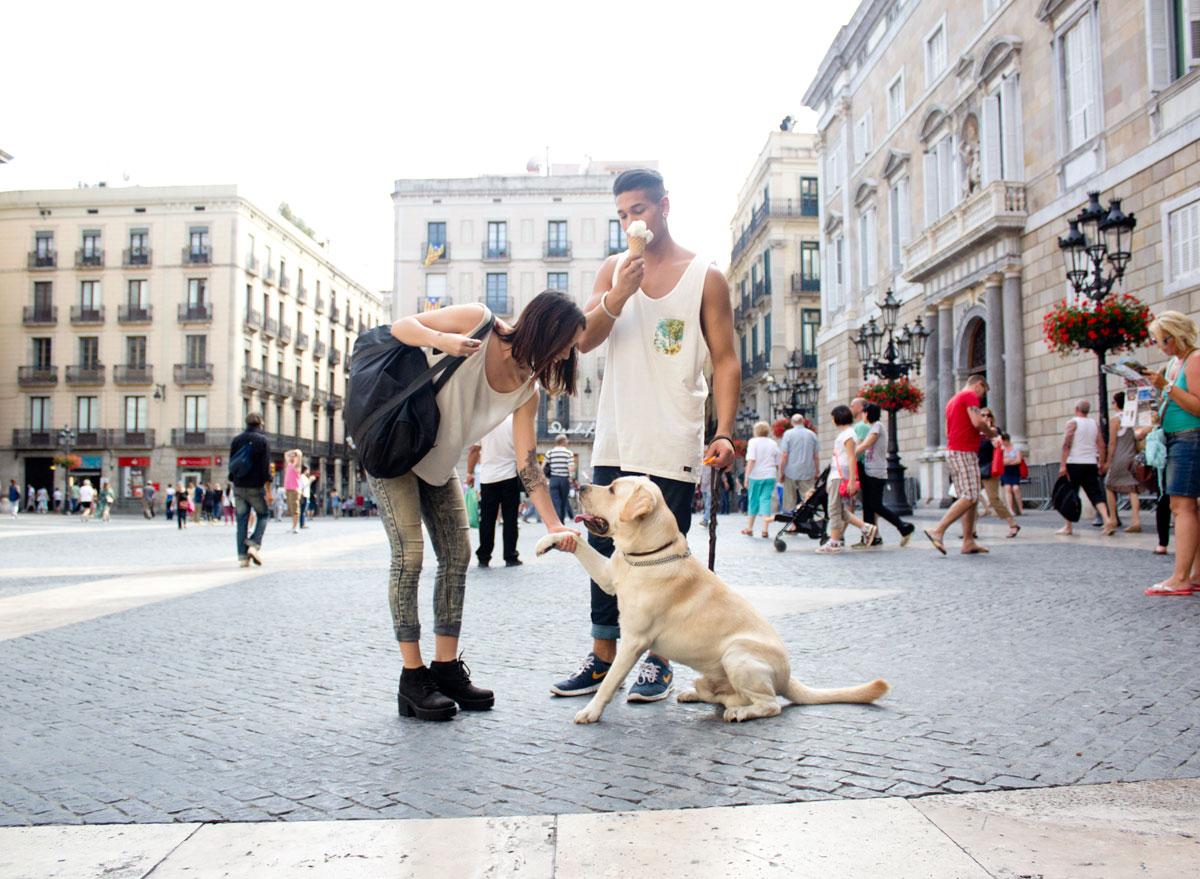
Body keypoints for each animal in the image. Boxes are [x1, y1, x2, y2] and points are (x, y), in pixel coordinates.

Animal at [540, 477, 888, 725]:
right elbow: (578, 542)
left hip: (738, 655)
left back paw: (740, 712)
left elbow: (611, 680)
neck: (647, 556)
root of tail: (789, 676)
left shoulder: (634, 641)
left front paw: (591, 711)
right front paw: (549, 540)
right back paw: (699, 695)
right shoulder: (608, 577)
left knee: (769, 704)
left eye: (612, 489)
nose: (581, 486)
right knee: (728, 695)